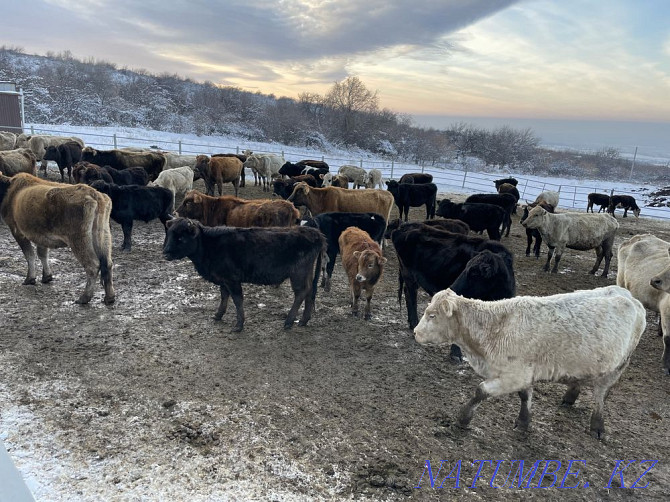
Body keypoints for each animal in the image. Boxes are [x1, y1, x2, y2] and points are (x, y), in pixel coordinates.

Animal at [0, 173, 115, 304]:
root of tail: (94, 193)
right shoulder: (41, 235)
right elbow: (42, 254)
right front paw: (47, 276)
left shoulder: (17, 231)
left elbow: (30, 255)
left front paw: (30, 278)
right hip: (103, 235)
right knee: (108, 264)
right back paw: (109, 297)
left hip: (79, 239)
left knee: (93, 265)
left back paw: (84, 297)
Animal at [163, 218, 326, 332]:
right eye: (169, 234)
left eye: (181, 238)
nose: (165, 253)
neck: (210, 246)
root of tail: (314, 233)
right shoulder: (223, 279)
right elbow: (224, 296)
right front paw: (218, 315)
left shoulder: (232, 279)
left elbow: (237, 300)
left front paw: (239, 324)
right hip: (306, 272)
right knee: (310, 290)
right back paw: (304, 320)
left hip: (298, 273)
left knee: (301, 292)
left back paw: (289, 321)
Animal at [418, 286, 648, 440]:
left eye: (432, 315)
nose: (416, 332)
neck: (496, 328)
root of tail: (629, 296)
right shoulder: (524, 374)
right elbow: (524, 396)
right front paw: (523, 421)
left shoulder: (513, 375)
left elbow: (481, 390)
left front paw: (463, 419)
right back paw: (570, 396)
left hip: (617, 366)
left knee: (601, 394)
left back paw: (597, 426)